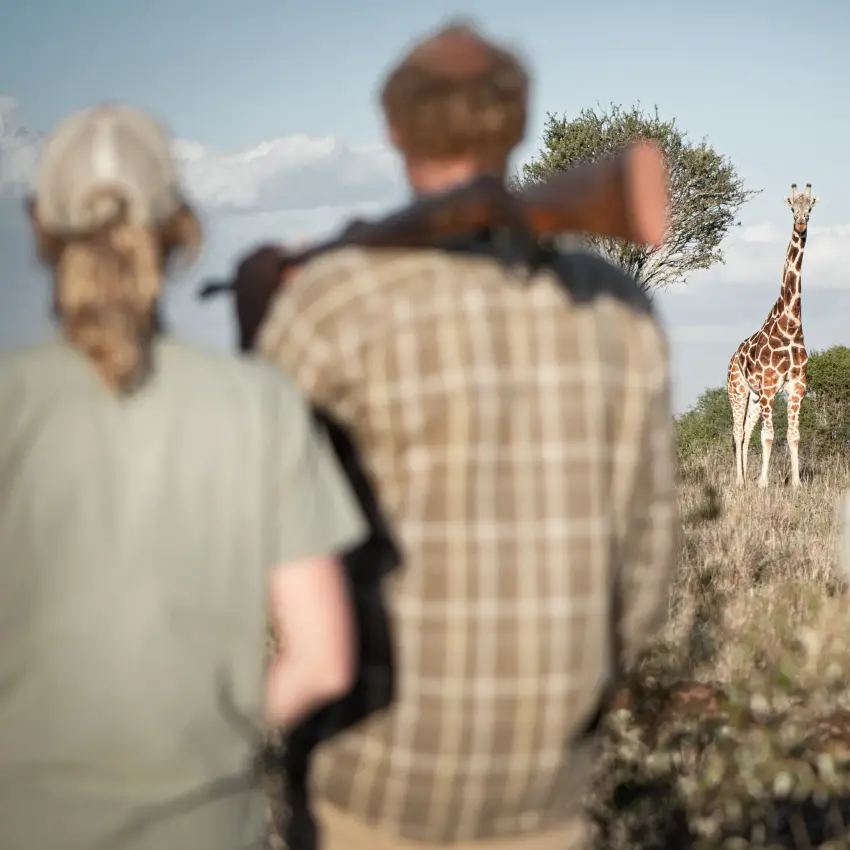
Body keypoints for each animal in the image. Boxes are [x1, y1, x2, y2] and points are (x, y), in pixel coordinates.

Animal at [727, 182, 817, 488]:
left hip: (755, 398)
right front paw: (764, 483)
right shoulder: (768, 386)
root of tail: (733, 357)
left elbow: (793, 435)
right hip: (738, 389)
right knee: (738, 431)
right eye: (792, 208)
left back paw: (744, 479)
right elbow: (768, 436)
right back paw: (740, 481)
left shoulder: (797, 385)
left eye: (810, 207)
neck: (790, 325)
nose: (800, 224)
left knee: (745, 431)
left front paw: (797, 484)